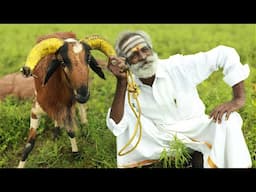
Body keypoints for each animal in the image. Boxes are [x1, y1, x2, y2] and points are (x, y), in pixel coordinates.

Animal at [17, 30, 114, 167]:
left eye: (88, 59)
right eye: (62, 62)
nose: (83, 94)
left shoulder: (68, 108)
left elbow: (71, 131)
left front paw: (75, 153)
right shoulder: (35, 110)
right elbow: (29, 145)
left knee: (81, 109)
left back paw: (84, 124)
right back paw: (56, 131)